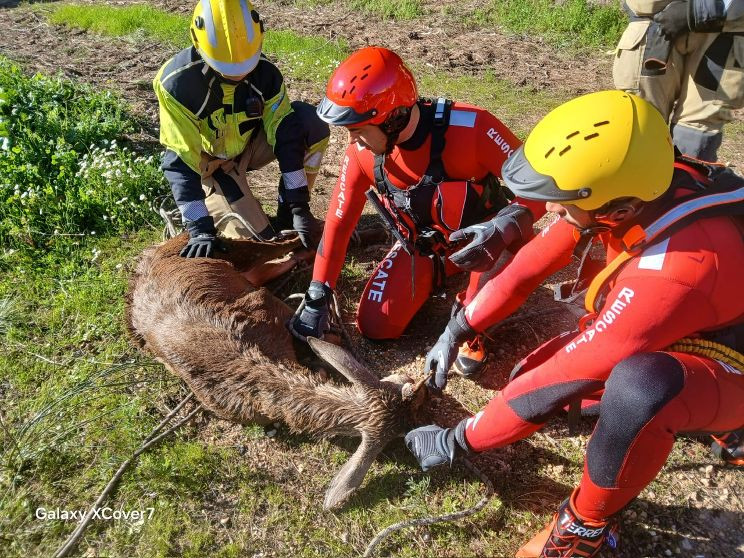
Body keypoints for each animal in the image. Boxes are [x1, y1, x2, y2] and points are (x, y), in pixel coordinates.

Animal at [125, 233, 431, 510]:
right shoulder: (271, 309)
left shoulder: (269, 307)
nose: (423, 387)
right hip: (235, 255)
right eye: (403, 432)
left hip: (238, 259)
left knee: (283, 250)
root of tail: (150, 251)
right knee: (278, 250)